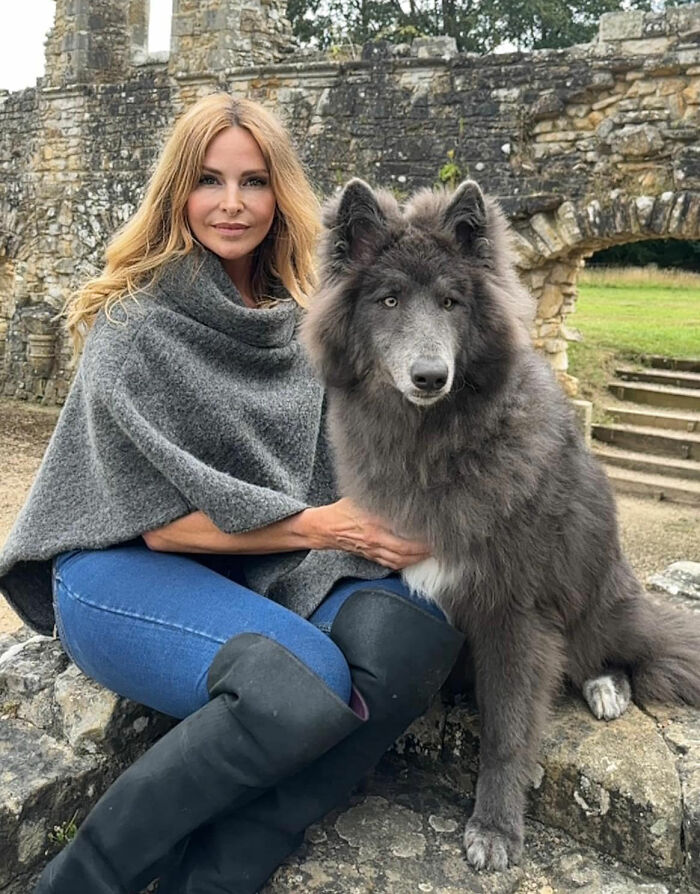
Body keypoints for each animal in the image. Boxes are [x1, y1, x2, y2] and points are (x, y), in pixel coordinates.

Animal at [302, 178, 700, 872]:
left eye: (452, 301)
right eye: (388, 299)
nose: (430, 377)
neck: (434, 445)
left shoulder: (519, 612)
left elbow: (510, 729)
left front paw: (495, 829)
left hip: (602, 596)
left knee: (630, 653)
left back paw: (607, 688)